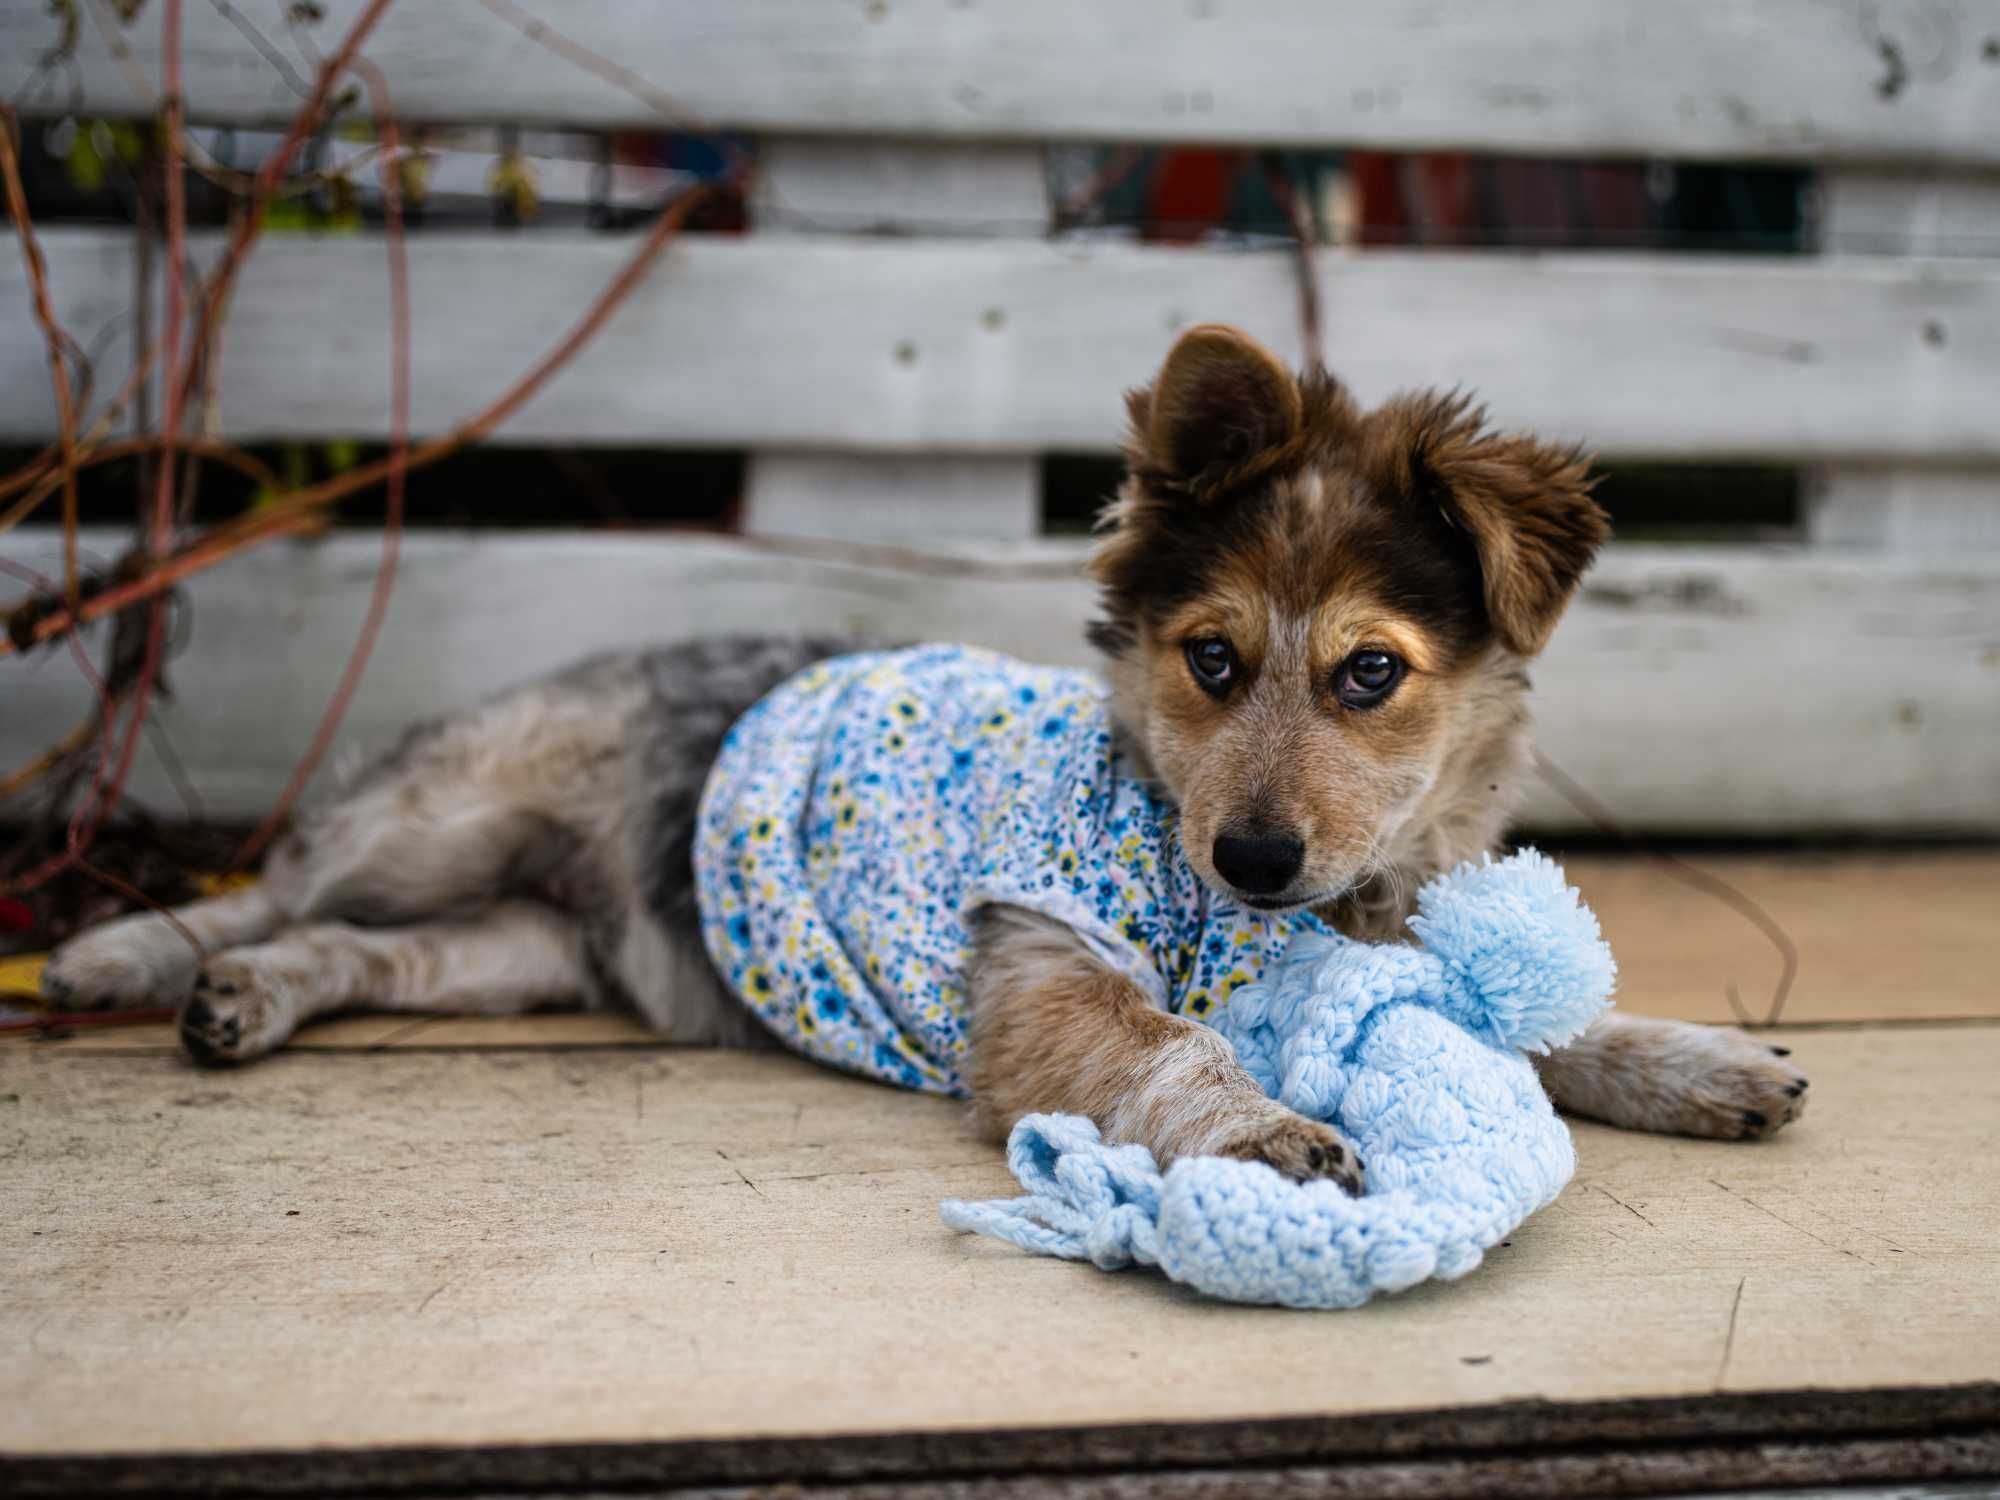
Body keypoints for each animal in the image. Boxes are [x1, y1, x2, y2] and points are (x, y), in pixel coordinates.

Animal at [39, 326, 1808, 1184]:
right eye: (1212, 659)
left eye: (1373, 672)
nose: (1250, 858)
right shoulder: (1039, 978)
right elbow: (1176, 1046)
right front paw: (1257, 1132)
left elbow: (1559, 1031)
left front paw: (1697, 1063)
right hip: (439, 818)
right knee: (277, 891)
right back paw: (123, 954)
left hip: (515, 947)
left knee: (352, 951)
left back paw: (243, 1007)